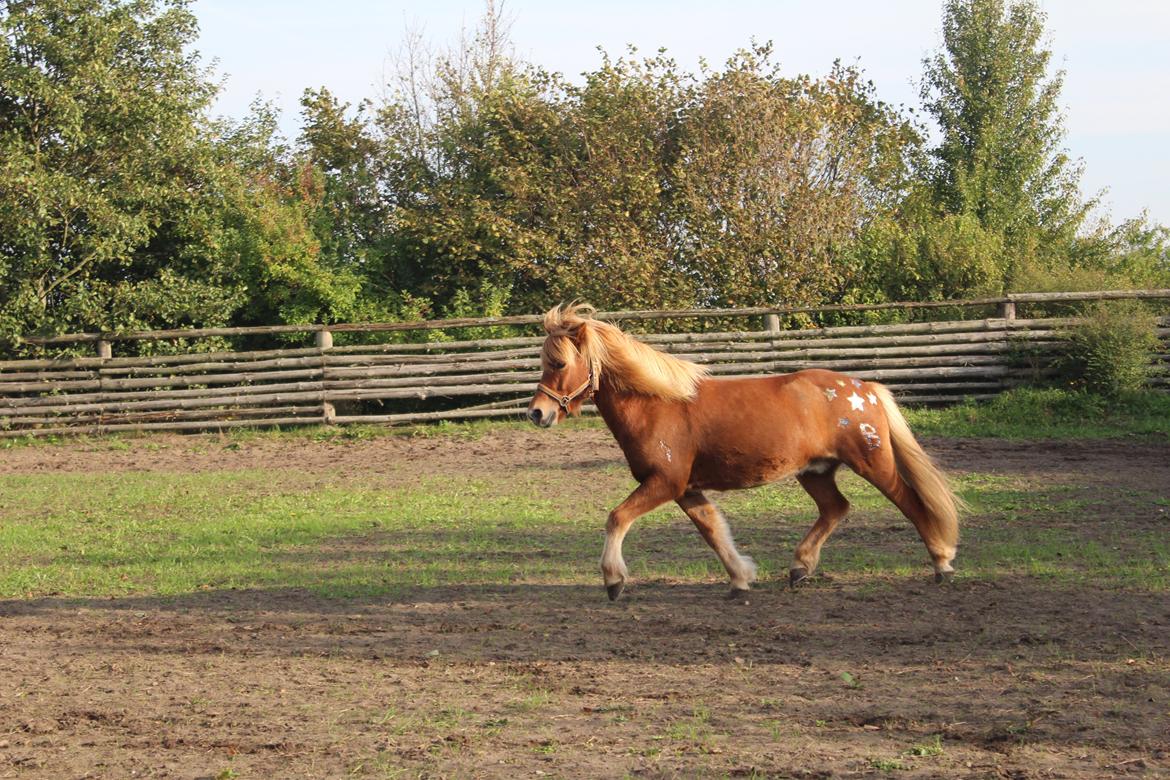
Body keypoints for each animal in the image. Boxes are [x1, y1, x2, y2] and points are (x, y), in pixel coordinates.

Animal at [528, 301, 959, 603]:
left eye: (559, 362)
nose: (537, 413)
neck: (658, 404)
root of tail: (866, 387)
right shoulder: (686, 489)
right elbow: (713, 531)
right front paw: (740, 578)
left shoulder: (665, 483)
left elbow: (617, 518)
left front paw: (614, 580)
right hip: (816, 472)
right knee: (836, 508)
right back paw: (800, 568)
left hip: (873, 463)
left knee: (911, 502)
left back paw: (942, 563)